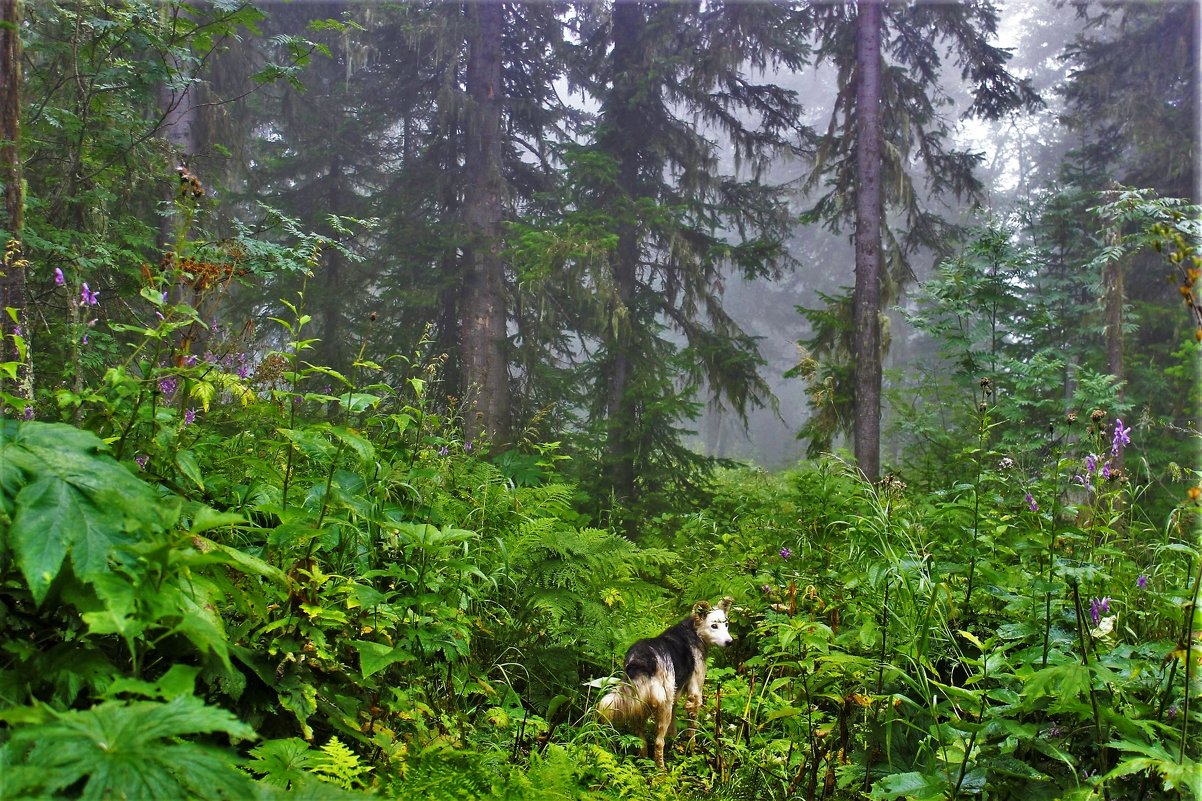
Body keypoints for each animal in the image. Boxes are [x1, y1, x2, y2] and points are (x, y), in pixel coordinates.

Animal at [598, 596, 730, 764]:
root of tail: (641, 660)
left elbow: (673, 728)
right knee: (658, 742)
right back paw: (661, 768)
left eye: (726, 624)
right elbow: (692, 728)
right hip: (663, 706)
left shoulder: (674, 695)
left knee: (641, 738)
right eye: (714, 626)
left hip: (641, 705)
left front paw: (674, 744)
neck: (694, 631)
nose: (730, 642)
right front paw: (691, 750)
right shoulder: (695, 693)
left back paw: (643, 759)